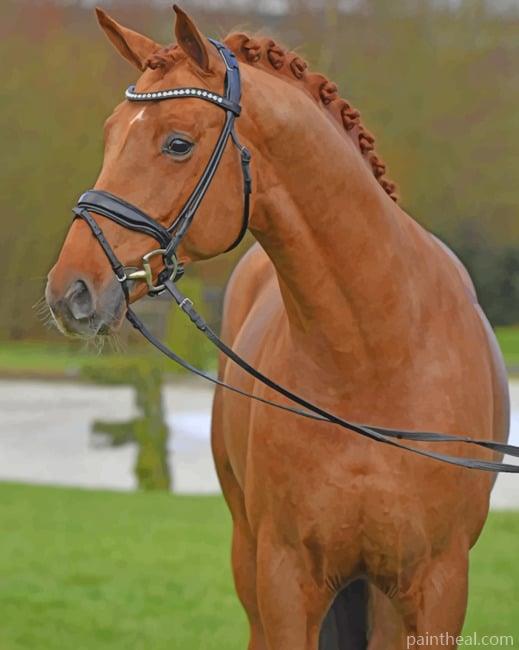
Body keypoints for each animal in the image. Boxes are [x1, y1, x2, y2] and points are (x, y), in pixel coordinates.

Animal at [45, 6, 510, 649]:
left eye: (177, 143)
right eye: (112, 134)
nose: (71, 291)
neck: (374, 359)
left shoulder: (437, 585)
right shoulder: (286, 578)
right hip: (251, 560)